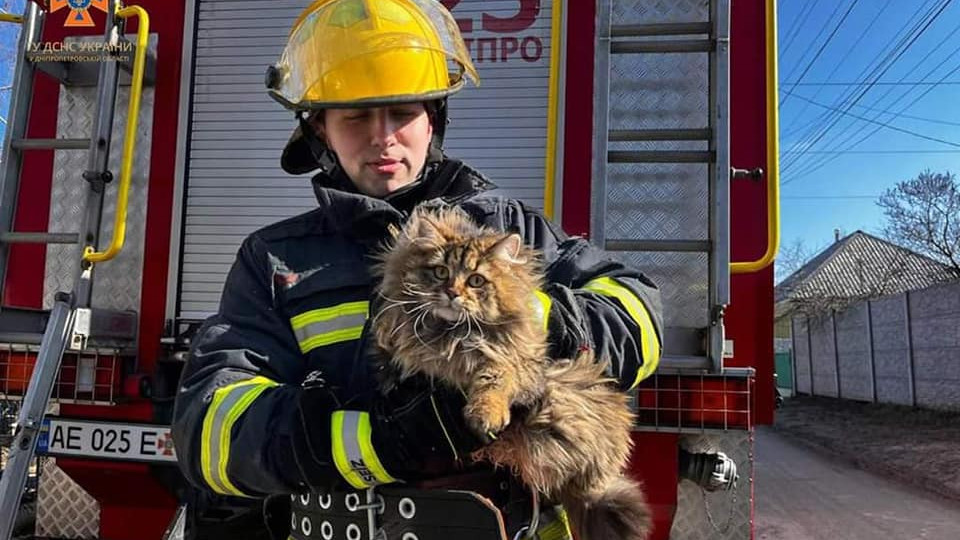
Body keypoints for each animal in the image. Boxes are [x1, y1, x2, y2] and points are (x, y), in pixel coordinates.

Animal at [372, 206, 656, 540]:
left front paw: (486, 412)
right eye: (440, 272)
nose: (451, 293)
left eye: (476, 280)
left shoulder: (513, 360)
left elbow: (494, 380)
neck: (453, 334)